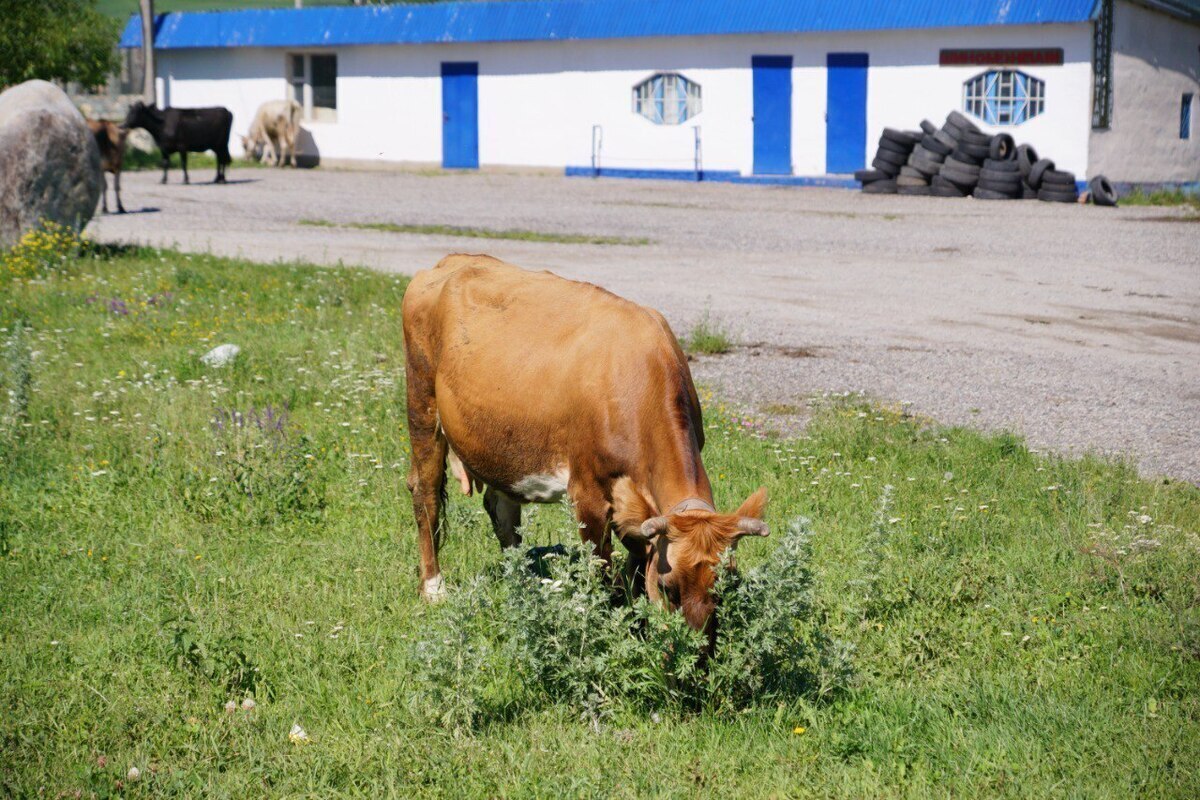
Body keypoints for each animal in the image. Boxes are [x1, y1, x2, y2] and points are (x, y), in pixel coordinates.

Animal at [401, 254, 768, 644]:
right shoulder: (587, 490)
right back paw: (434, 588)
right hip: (421, 401)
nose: (701, 653)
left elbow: (637, 561)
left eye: (726, 585)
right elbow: (601, 566)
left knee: (501, 510)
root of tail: (453, 260)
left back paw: (523, 584)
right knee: (425, 492)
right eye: (669, 588)